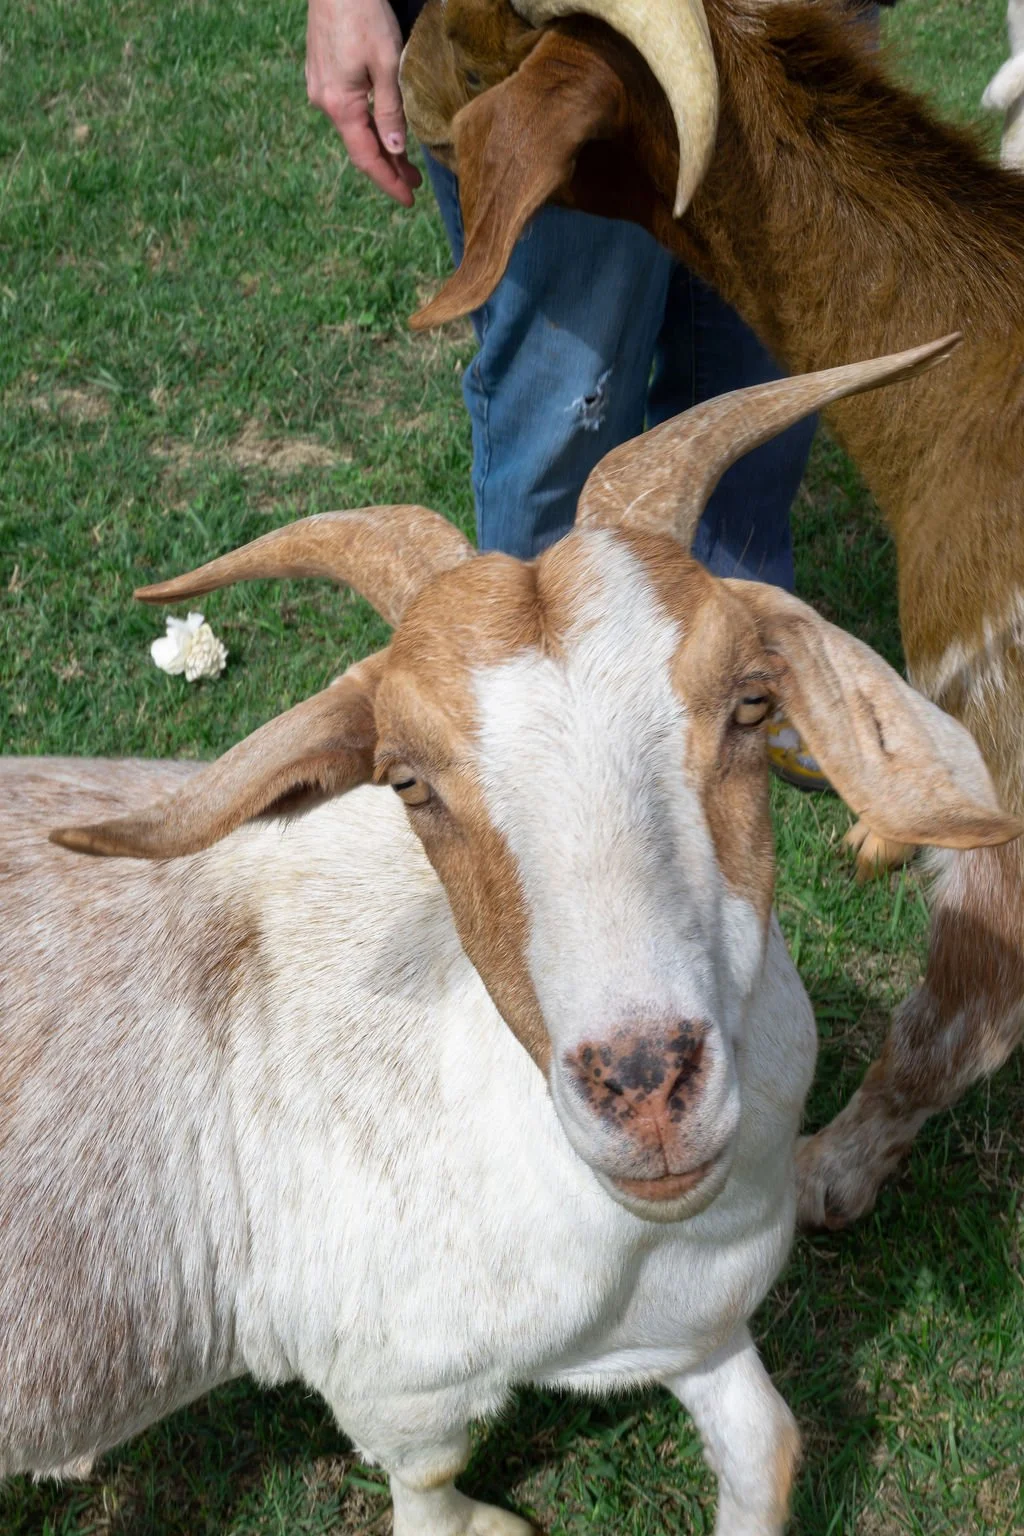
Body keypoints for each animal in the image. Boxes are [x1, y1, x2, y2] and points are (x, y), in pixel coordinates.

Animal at [1, 344, 1012, 1536]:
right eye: (406, 780)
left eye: (753, 706)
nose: (644, 1089)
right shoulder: (391, 1383)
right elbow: (429, 1479)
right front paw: (488, 1522)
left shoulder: (694, 1322)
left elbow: (768, 1449)